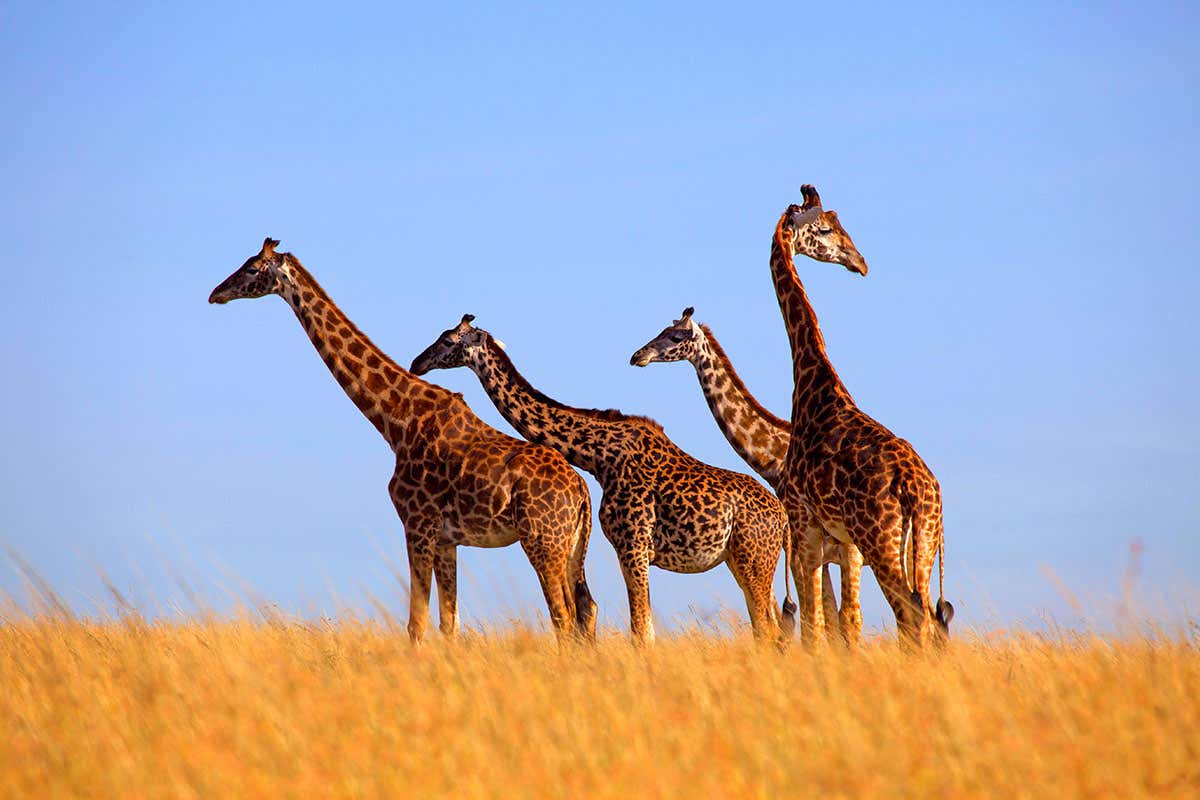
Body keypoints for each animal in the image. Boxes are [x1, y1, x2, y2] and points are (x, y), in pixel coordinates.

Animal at [208, 238, 598, 643]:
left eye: (252, 268)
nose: (215, 293)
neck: (396, 423)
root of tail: (582, 492)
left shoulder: (416, 523)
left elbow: (416, 623)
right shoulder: (446, 539)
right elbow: (448, 623)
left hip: (542, 541)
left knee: (563, 617)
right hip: (571, 547)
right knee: (584, 611)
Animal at [410, 315, 793, 644]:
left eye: (448, 340)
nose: (417, 363)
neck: (600, 457)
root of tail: (783, 519)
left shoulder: (633, 546)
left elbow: (642, 632)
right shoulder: (631, 549)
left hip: (753, 561)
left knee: (768, 629)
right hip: (745, 562)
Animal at [768, 186, 952, 647]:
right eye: (825, 228)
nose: (860, 261)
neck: (811, 380)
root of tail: (915, 487)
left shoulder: (806, 527)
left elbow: (816, 625)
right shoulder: (825, 537)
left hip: (879, 539)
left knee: (911, 616)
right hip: (923, 539)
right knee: (924, 615)